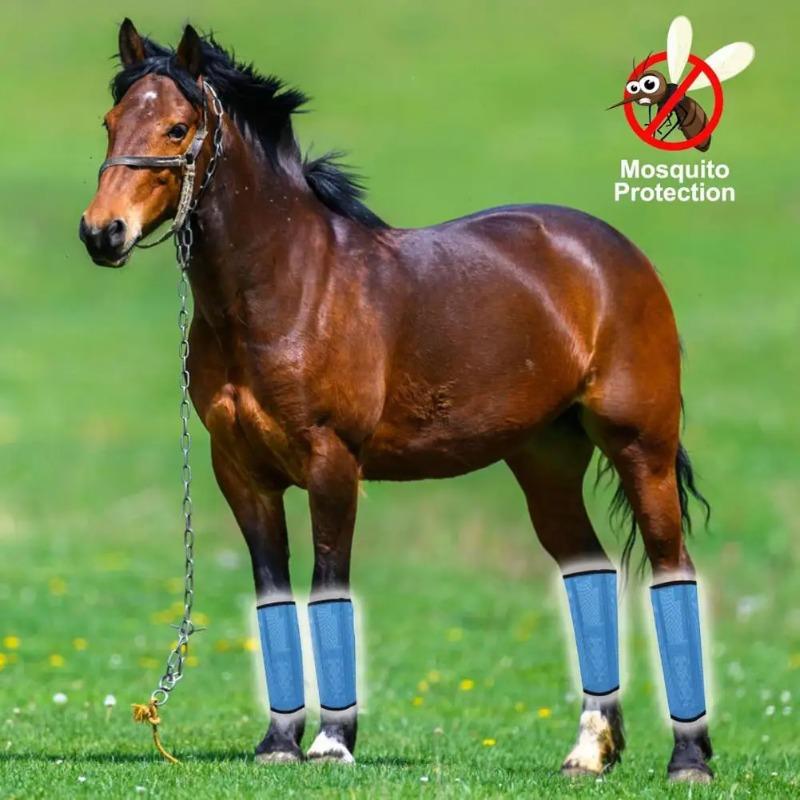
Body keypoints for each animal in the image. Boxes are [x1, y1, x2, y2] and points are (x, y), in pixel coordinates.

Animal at [80, 20, 714, 782]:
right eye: (110, 121)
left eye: (177, 128)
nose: (101, 232)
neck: (289, 287)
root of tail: (612, 252)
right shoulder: (240, 473)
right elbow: (272, 593)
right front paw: (278, 743)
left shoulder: (332, 464)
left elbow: (329, 585)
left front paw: (331, 742)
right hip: (545, 460)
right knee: (588, 570)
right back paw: (590, 750)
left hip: (640, 447)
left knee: (672, 569)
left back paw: (689, 758)